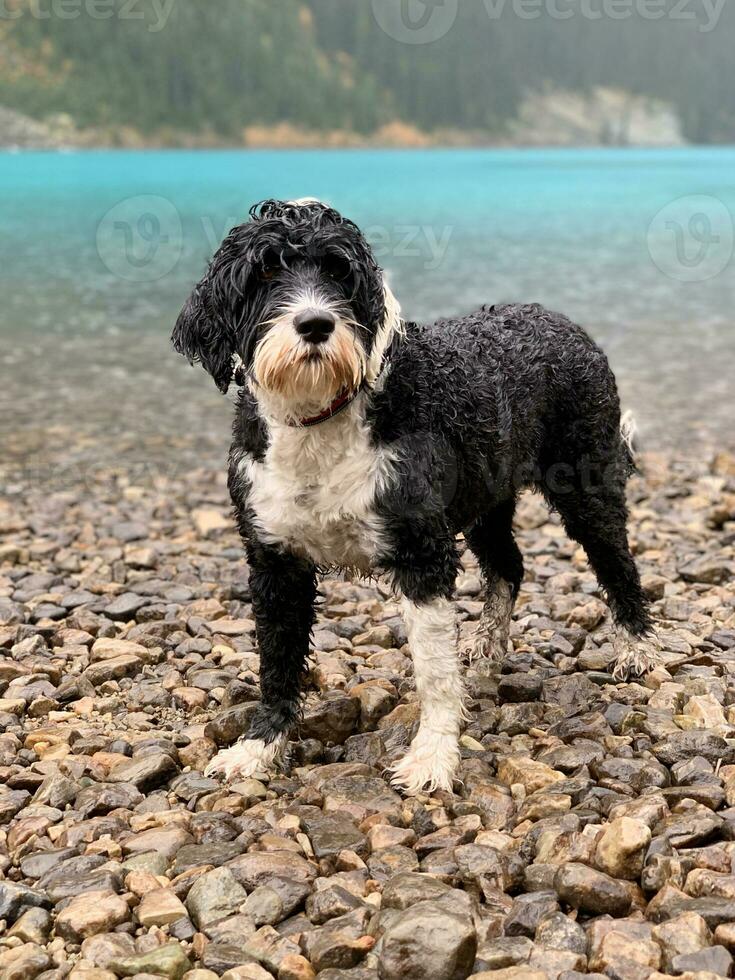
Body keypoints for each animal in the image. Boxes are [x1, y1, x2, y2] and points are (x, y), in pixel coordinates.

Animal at [172, 199, 660, 796]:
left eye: (339, 272)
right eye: (263, 273)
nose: (315, 323)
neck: (323, 419)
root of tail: (562, 322)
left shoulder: (420, 552)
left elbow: (433, 670)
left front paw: (432, 756)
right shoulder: (274, 560)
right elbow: (277, 660)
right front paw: (260, 747)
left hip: (586, 482)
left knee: (617, 562)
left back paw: (634, 647)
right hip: (485, 496)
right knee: (507, 563)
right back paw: (487, 641)